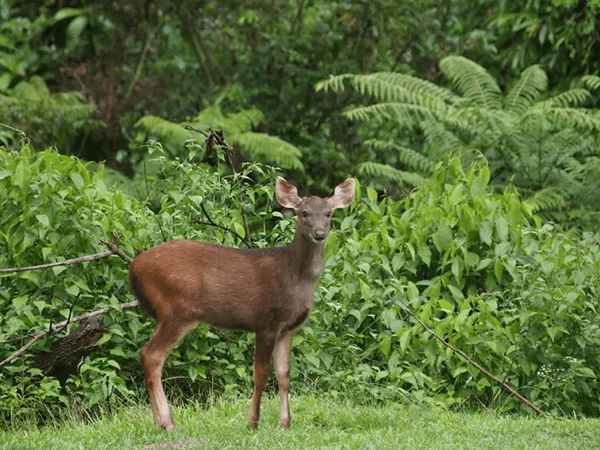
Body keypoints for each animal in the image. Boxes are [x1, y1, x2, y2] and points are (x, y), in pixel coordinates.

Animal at [129, 178, 354, 430]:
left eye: (328, 213)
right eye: (304, 213)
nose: (319, 233)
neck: (297, 278)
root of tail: (134, 266)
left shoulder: (287, 327)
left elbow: (284, 374)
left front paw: (285, 423)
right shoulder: (266, 321)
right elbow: (261, 374)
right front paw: (253, 422)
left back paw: (160, 422)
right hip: (176, 310)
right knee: (151, 355)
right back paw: (167, 422)